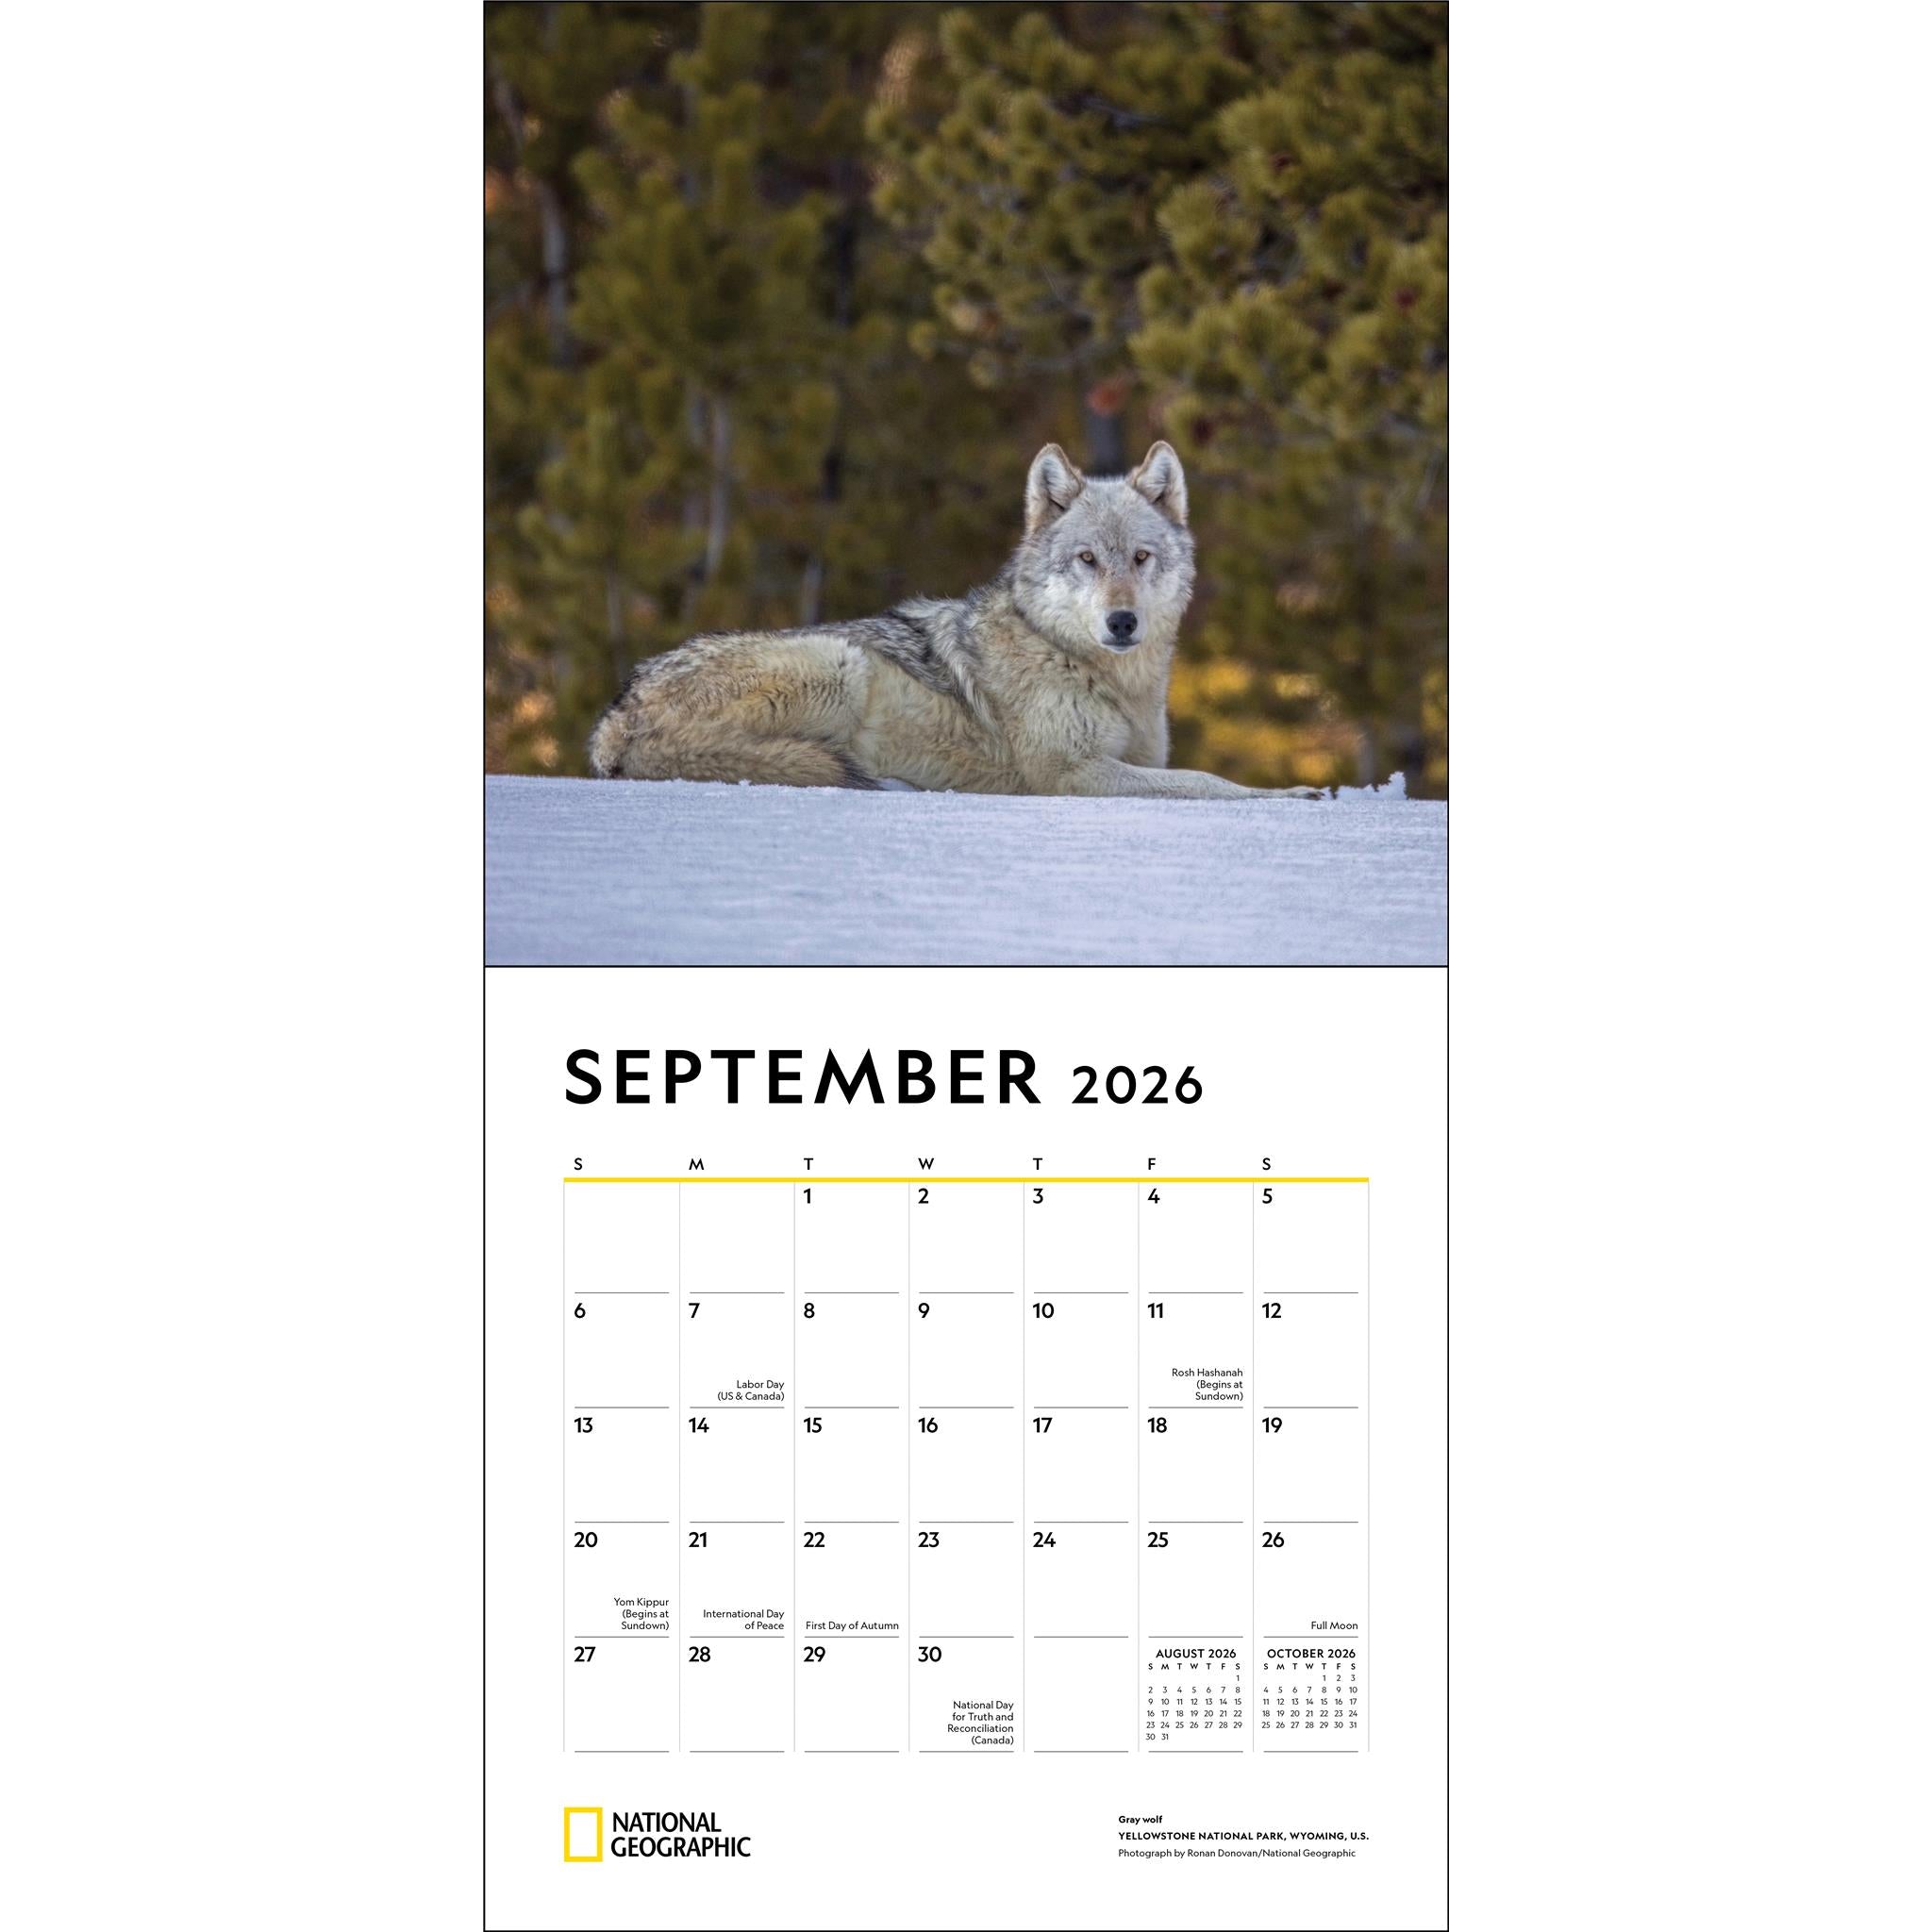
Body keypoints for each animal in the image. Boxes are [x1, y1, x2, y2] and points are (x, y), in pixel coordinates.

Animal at [587, 441, 1323, 798]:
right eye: (1087, 559)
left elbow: (1195, 776)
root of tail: (615, 719)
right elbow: (1207, 782)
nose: (1122, 623)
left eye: (1140, 558)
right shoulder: (1068, 774)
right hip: (840, 664)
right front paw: (1289, 796)